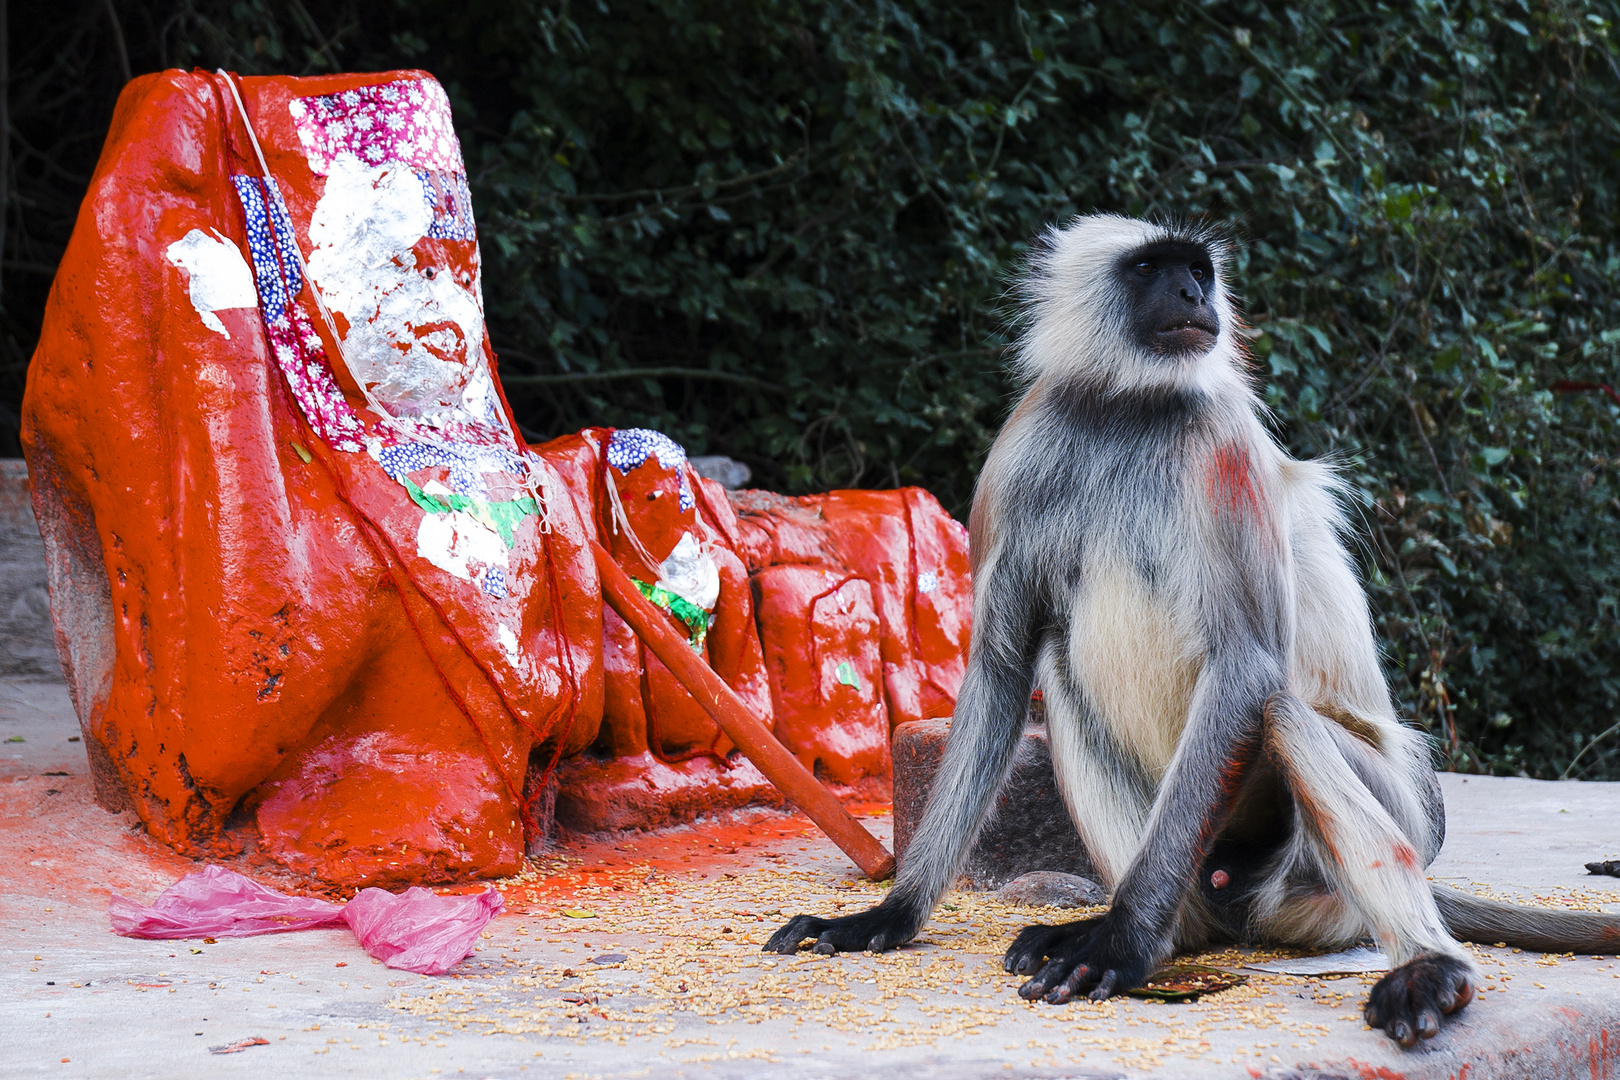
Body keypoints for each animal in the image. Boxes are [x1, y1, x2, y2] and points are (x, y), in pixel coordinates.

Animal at [767, 210, 1620, 1049]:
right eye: (1152, 269)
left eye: (1198, 271)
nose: (1191, 294)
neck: (1126, 409)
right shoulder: (1021, 450)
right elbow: (1004, 665)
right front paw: (891, 913)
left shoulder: (1221, 440)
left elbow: (1244, 664)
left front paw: (1122, 940)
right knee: (1061, 675)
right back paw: (1176, 939)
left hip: (1361, 840)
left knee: (1279, 707)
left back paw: (1423, 969)